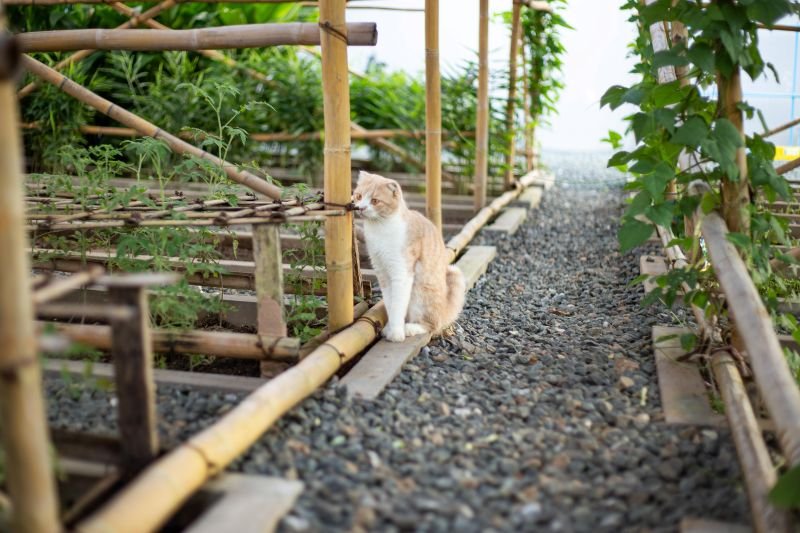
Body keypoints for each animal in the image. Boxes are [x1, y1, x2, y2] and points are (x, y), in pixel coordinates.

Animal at [354, 172, 466, 342]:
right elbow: (390, 304)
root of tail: (444, 310)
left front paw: (396, 333)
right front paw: (391, 327)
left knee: (431, 325)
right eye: (359, 196)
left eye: (375, 201)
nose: (361, 208)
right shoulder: (382, 273)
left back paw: (410, 328)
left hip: (420, 292)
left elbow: (398, 305)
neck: (380, 229)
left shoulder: (402, 272)